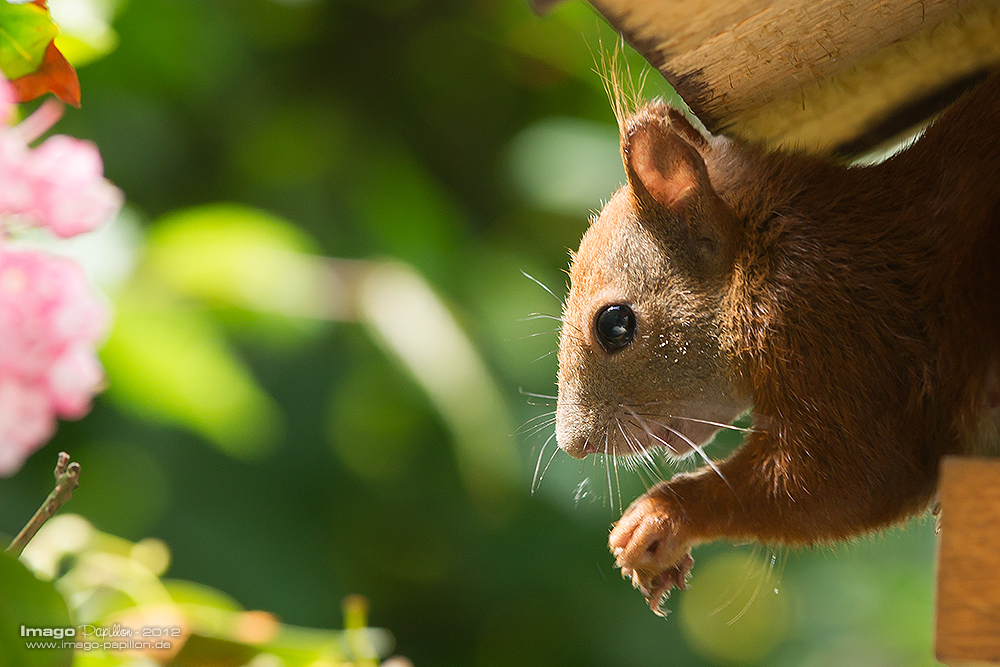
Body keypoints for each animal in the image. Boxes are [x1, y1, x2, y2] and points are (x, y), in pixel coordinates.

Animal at [556, 70, 1000, 612]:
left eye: (615, 325)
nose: (573, 444)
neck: (761, 260)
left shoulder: (834, 326)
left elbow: (850, 473)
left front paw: (662, 516)